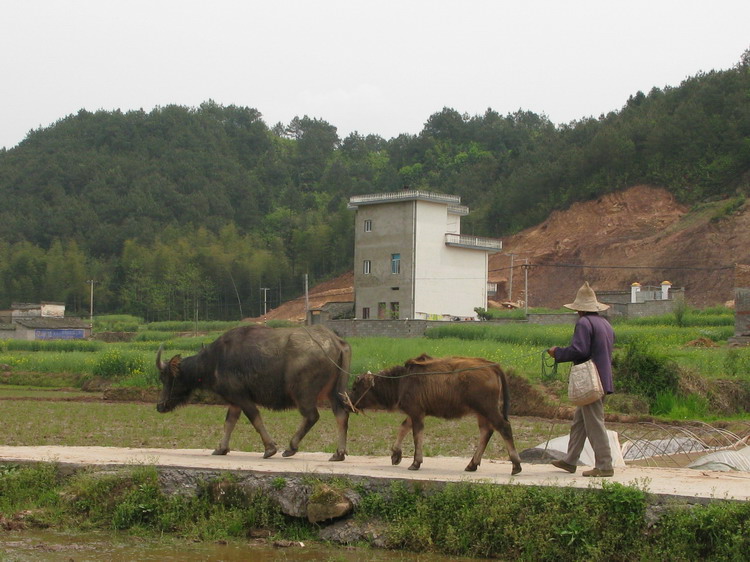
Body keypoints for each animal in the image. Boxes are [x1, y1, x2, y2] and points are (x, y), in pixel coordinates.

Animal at [155, 324, 352, 460]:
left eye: (165, 377)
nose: (160, 406)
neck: (214, 361)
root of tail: (336, 341)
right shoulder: (234, 401)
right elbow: (229, 423)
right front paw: (221, 448)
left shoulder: (242, 398)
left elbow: (255, 419)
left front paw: (270, 449)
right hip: (335, 392)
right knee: (341, 414)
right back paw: (339, 453)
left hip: (303, 393)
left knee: (312, 416)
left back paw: (291, 447)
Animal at [348, 352, 520, 470]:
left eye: (355, 387)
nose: (347, 401)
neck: (402, 380)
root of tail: (492, 366)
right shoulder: (416, 412)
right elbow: (403, 427)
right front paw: (396, 454)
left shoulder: (416, 413)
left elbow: (416, 435)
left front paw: (415, 462)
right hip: (481, 412)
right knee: (486, 431)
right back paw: (472, 464)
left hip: (488, 408)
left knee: (504, 427)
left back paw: (516, 465)